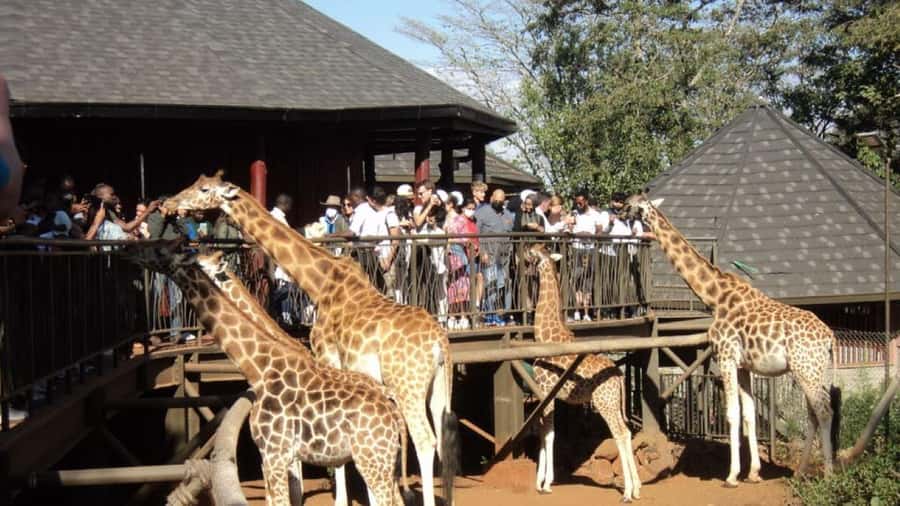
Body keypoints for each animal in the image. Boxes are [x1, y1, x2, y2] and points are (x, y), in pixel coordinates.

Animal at [127, 245, 406, 506]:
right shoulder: (274, 455)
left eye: (160, 250)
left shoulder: (275, 453)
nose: (130, 252)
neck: (259, 367)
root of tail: (393, 411)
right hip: (379, 460)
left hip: (373, 459)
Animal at [163, 172, 457, 506]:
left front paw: (340, 500)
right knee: (441, 440)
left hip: (407, 385)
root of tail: (440, 341)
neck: (320, 281)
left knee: (424, 440)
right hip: (437, 385)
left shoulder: (327, 354)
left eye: (203, 189)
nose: (169, 204)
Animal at [525, 243, 642, 502]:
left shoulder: (546, 390)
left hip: (604, 402)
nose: (524, 254)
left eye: (534, 251)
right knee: (628, 432)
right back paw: (638, 488)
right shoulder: (546, 394)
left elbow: (549, 433)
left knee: (620, 433)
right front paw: (539, 481)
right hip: (613, 402)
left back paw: (627, 492)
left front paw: (545, 483)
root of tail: (620, 376)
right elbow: (543, 432)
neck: (544, 335)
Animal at [624, 195, 835, 486]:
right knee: (815, 414)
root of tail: (830, 338)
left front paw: (732, 475)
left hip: (806, 369)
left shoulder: (725, 357)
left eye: (634, 205)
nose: (620, 209)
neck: (715, 297)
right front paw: (754, 472)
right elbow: (749, 415)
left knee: (824, 412)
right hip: (814, 370)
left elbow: (732, 414)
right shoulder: (744, 366)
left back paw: (829, 475)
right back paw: (800, 472)